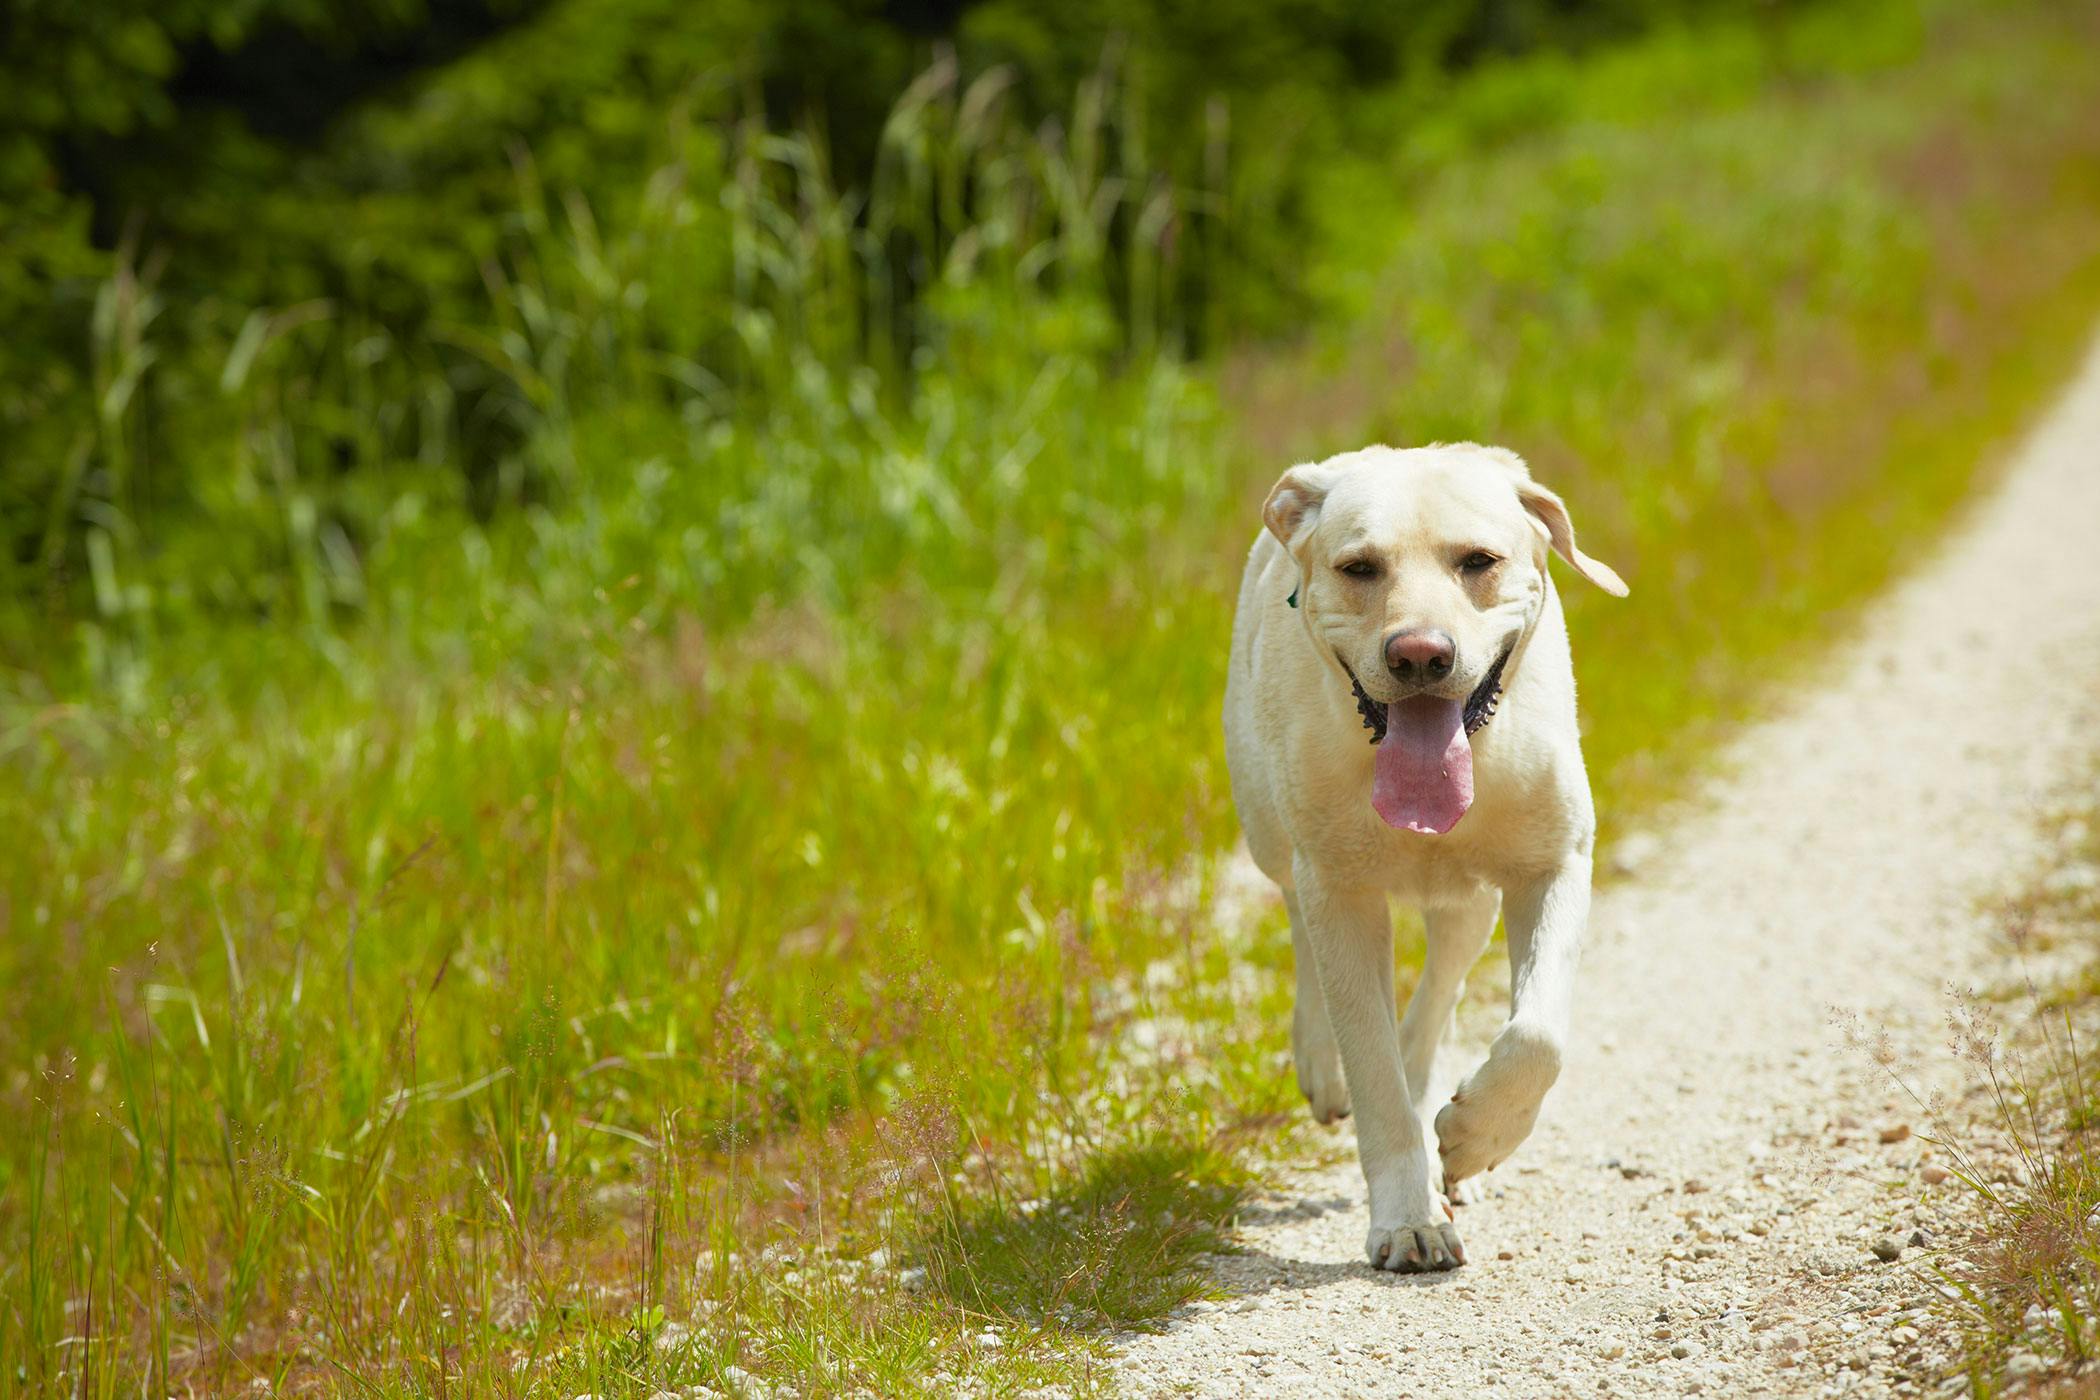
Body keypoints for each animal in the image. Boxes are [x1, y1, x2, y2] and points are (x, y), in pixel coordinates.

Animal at [1226, 442, 1629, 1276]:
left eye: (1479, 561)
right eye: (1359, 567)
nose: (1419, 654)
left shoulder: (1554, 863)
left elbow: (1537, 1036)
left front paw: (1475, 1136)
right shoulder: (1341, 893)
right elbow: (1372, 1069)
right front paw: (1408, 1221)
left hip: (1467, 903)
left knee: (1440, 993)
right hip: (1273, 834)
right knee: (1301, 926)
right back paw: (1323, 1066)